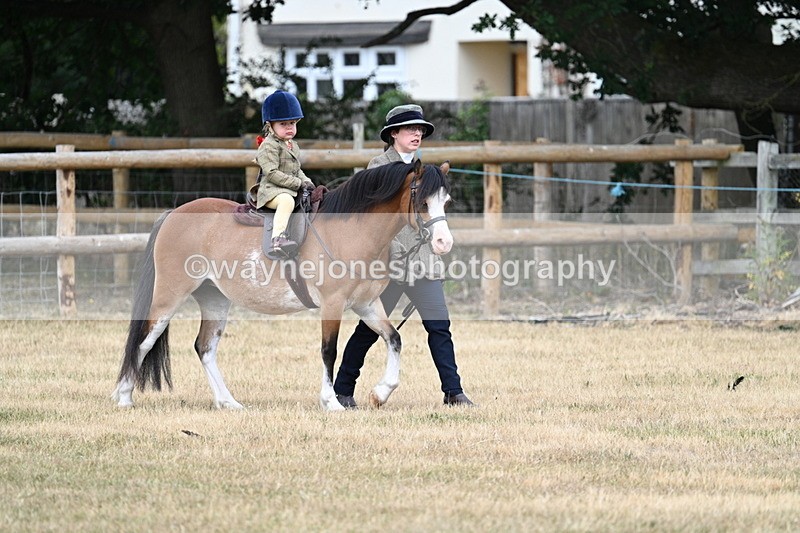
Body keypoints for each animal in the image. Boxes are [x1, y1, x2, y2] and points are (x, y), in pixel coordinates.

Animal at [112, 160, 453, 411]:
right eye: (422, 201)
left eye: (446, 200)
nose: (443, 243)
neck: (350, 230)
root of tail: (173, 214)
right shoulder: (332, 304)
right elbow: (329, 350)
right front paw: (331, 402)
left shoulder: (365, 304)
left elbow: (393, 338)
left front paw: (381, 393)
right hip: (169, 296)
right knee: (144, 340)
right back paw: (124, 396)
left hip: (214, 298)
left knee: (205, 347)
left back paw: (228, 402)